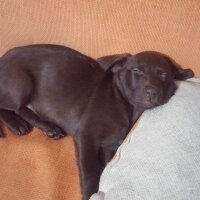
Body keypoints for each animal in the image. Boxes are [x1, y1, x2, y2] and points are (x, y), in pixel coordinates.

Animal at [0, 44, 194, 199]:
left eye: (164, 75)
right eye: (136, 71)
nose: (152, 92)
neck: (126, 106)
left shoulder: (110, 148)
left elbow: (105, 167)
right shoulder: (86, 136)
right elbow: (91, 173)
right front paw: (91, 193)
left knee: (22, 109)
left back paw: (46, 127)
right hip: (21, 82)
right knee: (12, 106)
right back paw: (20, 124)